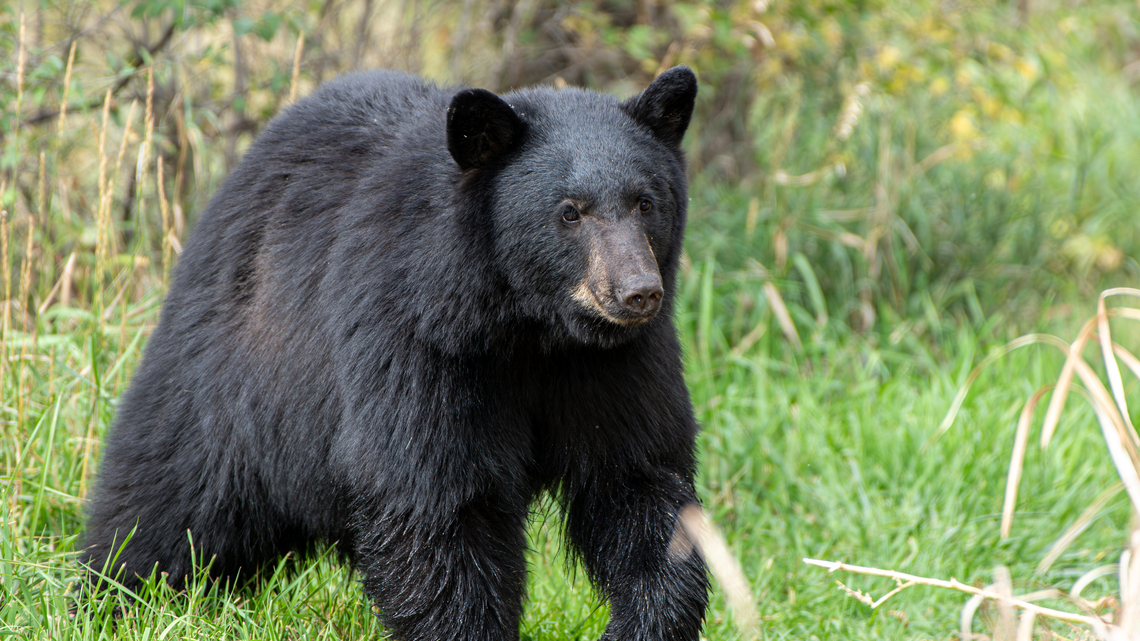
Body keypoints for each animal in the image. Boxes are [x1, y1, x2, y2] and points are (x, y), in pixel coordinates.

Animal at [81, 66, 708, 641]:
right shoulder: (416, 344)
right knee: (162, 505)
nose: (637, 291)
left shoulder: (616, 367)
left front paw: (645, 622)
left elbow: (640, 486)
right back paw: (111, 599)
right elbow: (437, 506)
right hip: (227, 377)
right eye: (570, 211)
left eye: (645, 202)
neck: (532, 330)